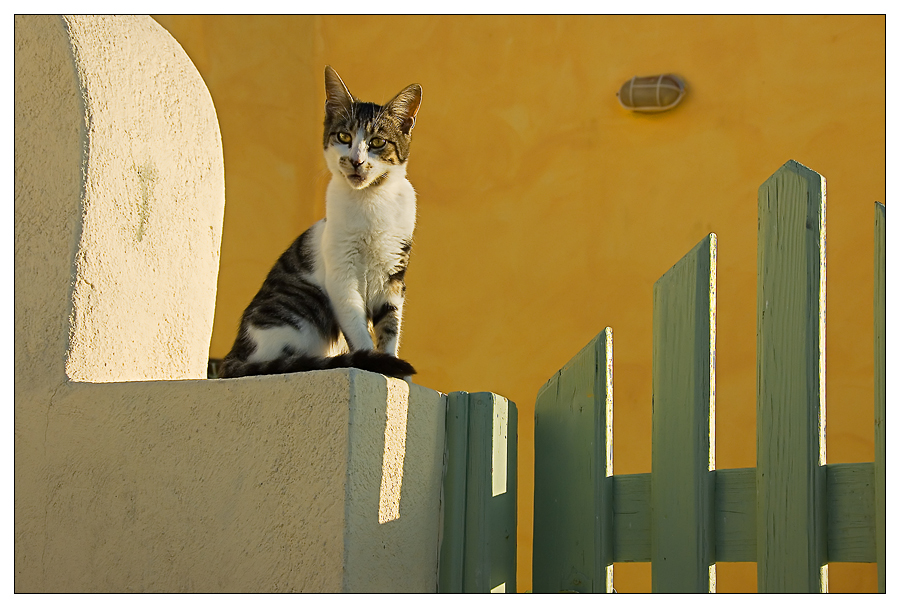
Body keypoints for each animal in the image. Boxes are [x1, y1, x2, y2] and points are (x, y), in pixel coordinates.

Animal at [221, 66, 426, 380]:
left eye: (377, 142)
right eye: (343, 136)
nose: (356, 161)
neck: (370, 200)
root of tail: (233, 355)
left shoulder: (393, 273)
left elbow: (390, 326)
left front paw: (394, 374)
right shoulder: (341, 275)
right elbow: (359, 331)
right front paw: (374, 364)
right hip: (300, 307)